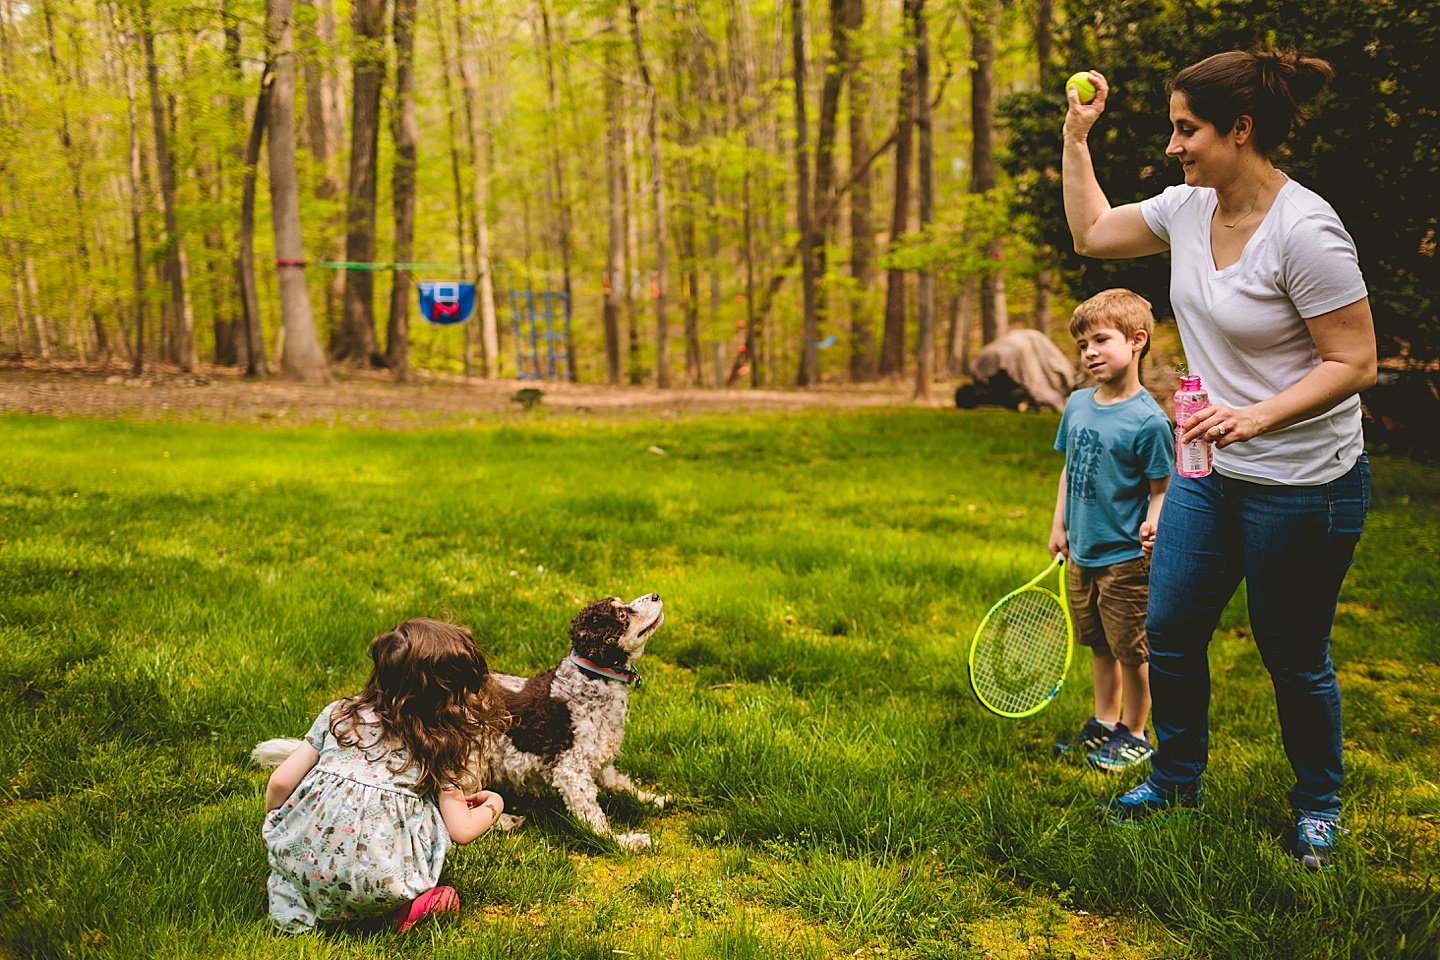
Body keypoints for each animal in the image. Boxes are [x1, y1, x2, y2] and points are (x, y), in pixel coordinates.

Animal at [253, 595, 668, 852]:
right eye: (621, 613)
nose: (656, 594)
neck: (592, 678)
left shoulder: (600, 759)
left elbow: (620, 782)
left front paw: (651, 798)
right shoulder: (573, 769)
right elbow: (593, 817)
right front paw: (623, 842)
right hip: (468, 756)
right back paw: (502, 820)